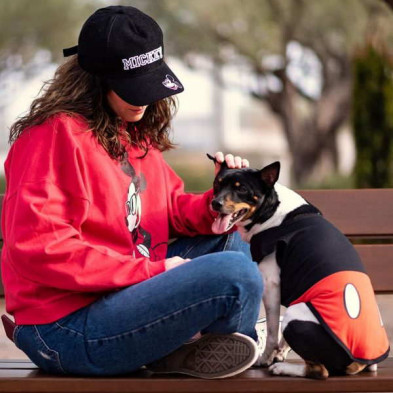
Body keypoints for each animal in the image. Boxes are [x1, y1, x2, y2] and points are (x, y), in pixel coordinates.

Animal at [208, 155, 388, 378]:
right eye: (217, 184)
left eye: (241, 189)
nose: (215, 203)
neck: (273, 211)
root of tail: (358, 362)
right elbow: (281, 337)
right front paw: (279, 353)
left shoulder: (271, 285)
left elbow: (272, 332)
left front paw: (266, 358)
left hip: (294, 316)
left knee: (320, 370)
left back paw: (284, 368)